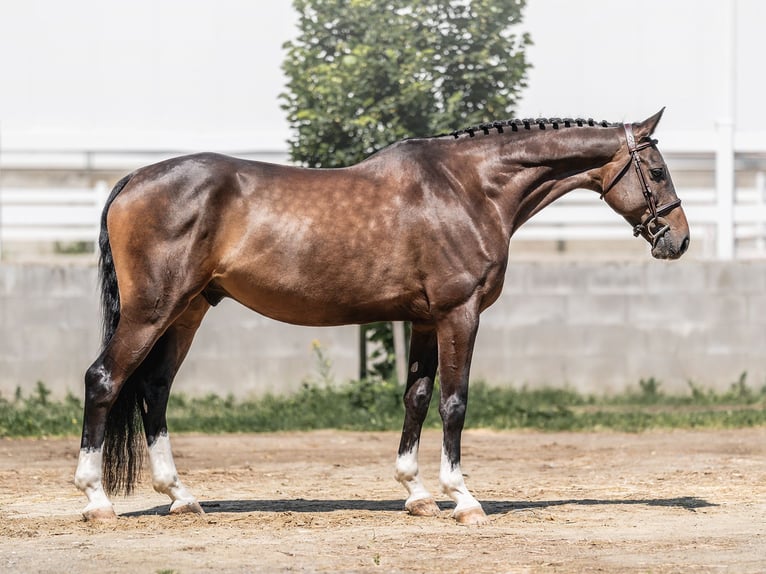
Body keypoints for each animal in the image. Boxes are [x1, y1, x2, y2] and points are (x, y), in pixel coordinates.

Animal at [74, 109, 689, 525]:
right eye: (658, 171)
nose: (678, 241)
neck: (469, 188)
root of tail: (132, 180)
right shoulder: (459, 314)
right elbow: (454, 402)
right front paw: (462, 498)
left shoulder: (423, 321)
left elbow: (416, 398)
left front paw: (416, 494)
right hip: (153, 311)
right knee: (104, 379)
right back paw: (97, 501)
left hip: (188, 311)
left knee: (153, 389)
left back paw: (181, 497)